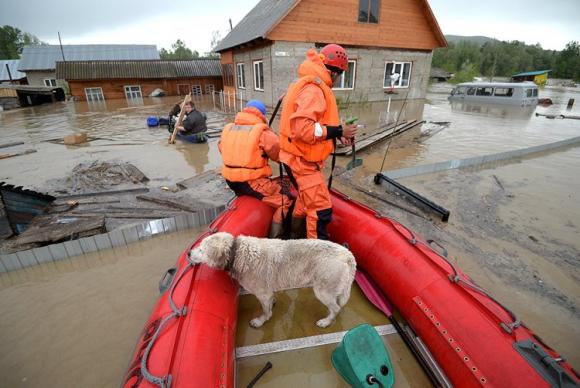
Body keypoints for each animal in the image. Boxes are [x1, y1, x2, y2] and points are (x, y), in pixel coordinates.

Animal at [188, 233, 356, 328]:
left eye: (201, 249)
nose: (189, 253)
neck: (236, 253)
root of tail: (348, 254)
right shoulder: (268, 291)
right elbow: (270, 301)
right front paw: (273, 303)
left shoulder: (262, 293)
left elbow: (265, 311)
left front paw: (260, 321)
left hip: (322, 290)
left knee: (336, 308)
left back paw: (326, 321)